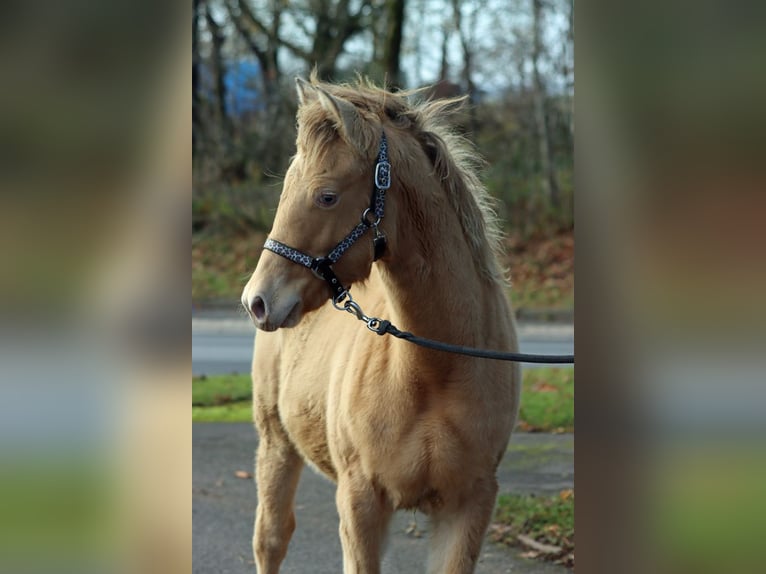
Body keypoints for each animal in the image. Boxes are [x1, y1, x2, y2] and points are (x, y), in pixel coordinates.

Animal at [241, 76, 521, 574]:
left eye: (327, 195)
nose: (257, 301)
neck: (435, 370)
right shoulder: (361, 502)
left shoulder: (469, 505)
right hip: (275, 442)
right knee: (271, 539)